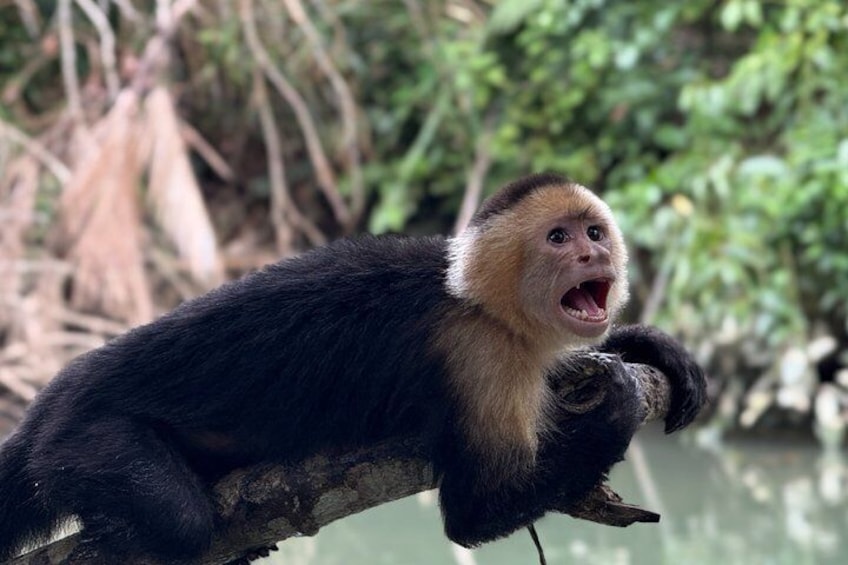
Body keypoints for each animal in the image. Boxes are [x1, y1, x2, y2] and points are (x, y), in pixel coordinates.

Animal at [0, 173, 706, 561]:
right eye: (559, 239)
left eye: (594, 233)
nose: (592, 255)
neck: (477, 300)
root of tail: (46, 402)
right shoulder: (482, 354)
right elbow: (474, 513)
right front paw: (613, 413)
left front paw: (648, 345)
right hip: (84, 437)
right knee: (181, 521)